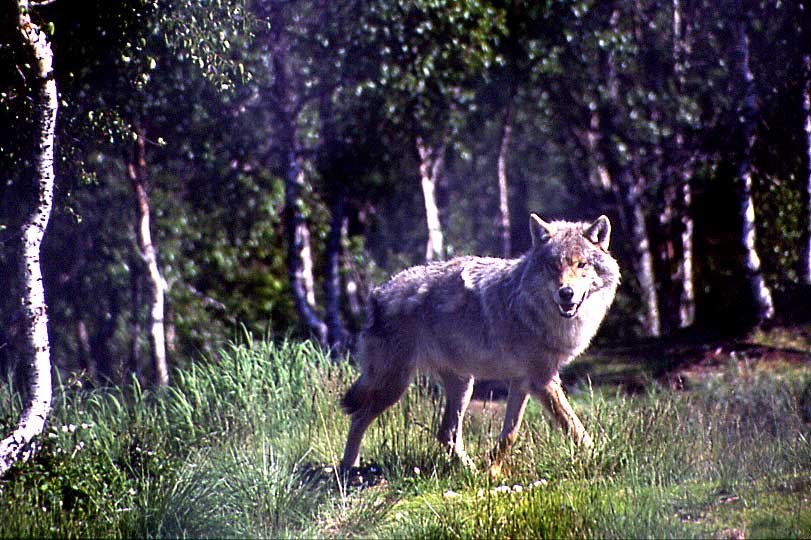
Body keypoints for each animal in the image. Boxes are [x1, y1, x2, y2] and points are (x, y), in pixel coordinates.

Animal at [340, 214, 620, 476]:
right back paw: (349, 468)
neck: (534, 312)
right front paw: (601, 457)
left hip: (462, 385)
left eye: (581, 264)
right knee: (358, 417)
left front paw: (491, 471)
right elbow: (576, 428)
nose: (566, 293)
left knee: (446, 434)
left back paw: (470, 472)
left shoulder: (522, 382)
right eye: (553, 265)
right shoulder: (543, 381)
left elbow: (510, 434)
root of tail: (377, 294)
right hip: (394, 386)